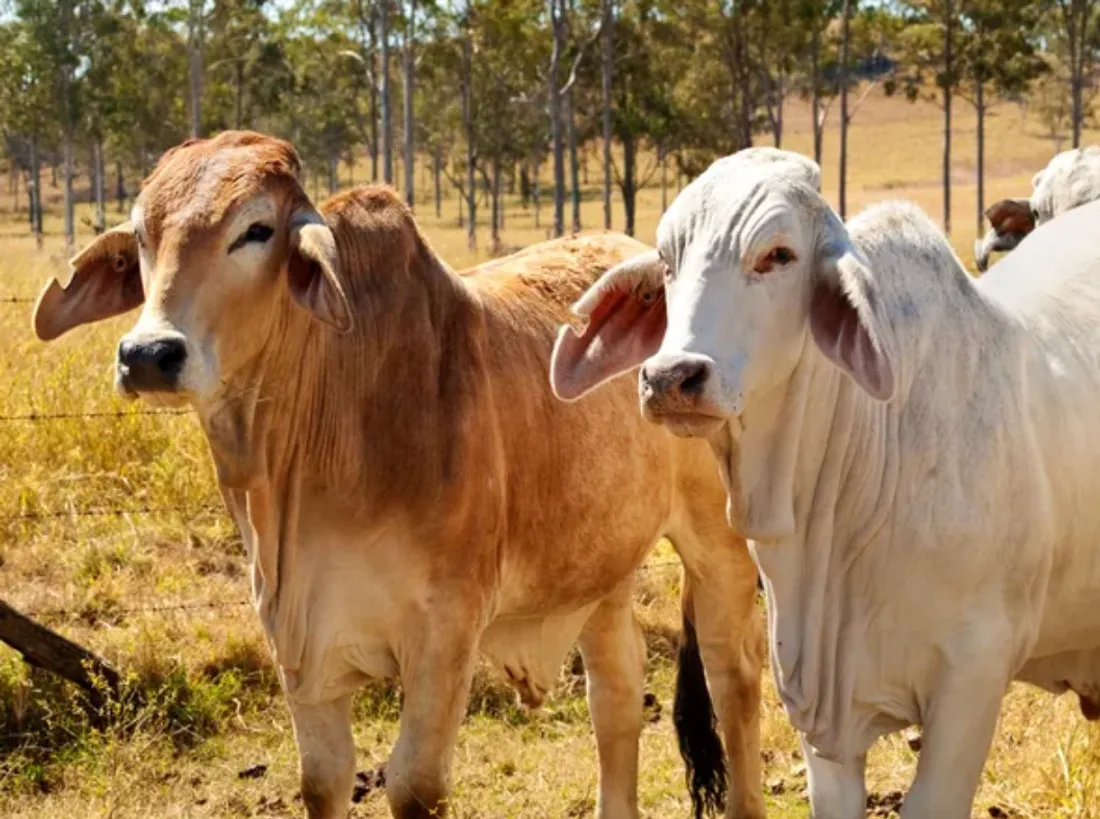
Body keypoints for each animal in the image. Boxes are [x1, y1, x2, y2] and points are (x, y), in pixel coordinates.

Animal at [30, 131, 766, 819]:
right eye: (142, 234)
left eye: (256, 229)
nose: (148, 354)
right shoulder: (300, 644)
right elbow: (322, 780)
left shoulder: (445, 635)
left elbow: (414, 785)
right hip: (597, 567)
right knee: (616, 694)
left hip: (719, 542)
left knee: (734, 680)